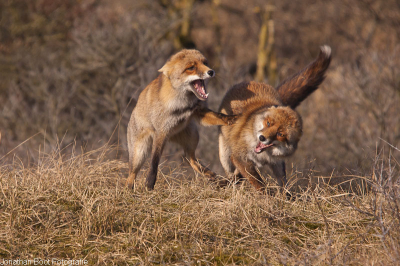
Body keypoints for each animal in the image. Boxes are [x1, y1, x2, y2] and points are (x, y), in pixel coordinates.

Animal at [219, 46, 332, 191]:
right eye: (268, 123)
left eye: (280, 134)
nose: (262, 138)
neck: (263, 156)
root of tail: (254, 81)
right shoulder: (239, 157)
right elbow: (258, 182)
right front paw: (266, 194)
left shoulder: (277, 162)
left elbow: (282, 182)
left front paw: (285, 195)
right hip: (225, 153)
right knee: (230, 171)